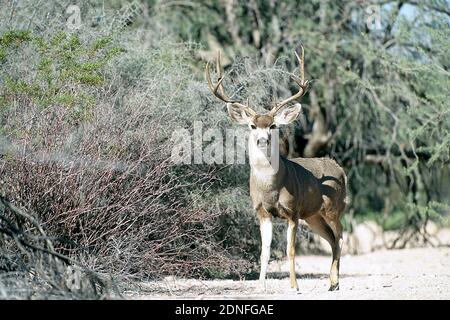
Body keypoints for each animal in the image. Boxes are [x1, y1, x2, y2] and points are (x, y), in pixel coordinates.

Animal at [205, 47, 348, 292]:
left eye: (273, 125)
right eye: (253, 125)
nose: (262, 139)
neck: (270, 188)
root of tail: (339, 168)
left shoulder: (293, 211)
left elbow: (290, 250)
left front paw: (294, 286)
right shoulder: (262, 212)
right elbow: (265, 252)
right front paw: (260, 286)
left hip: (333, 208)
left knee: (339, 236)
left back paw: (335, 283)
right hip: (313, 216)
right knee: (331, 238)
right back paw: (332, 283)